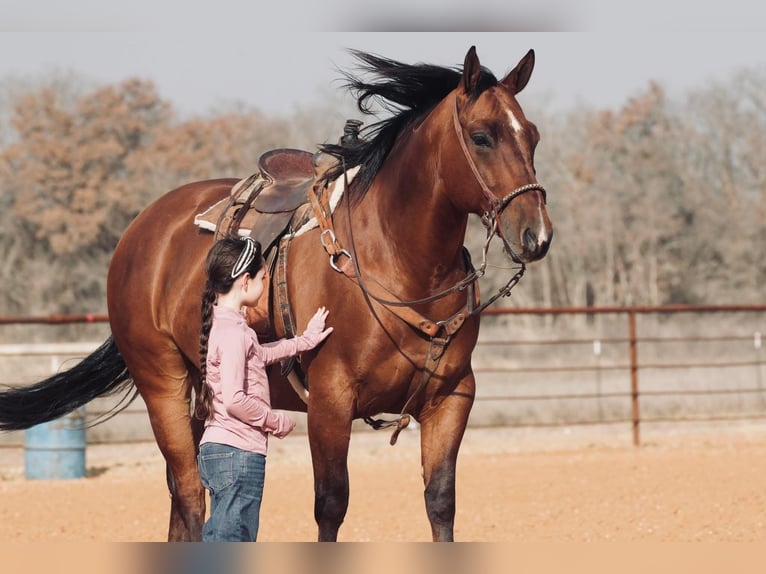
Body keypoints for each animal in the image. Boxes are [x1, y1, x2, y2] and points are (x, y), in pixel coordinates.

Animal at [0, 47, 552, 544]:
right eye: (482, 137)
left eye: (533, 137)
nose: (537, 235)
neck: (398, 262)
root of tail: (141, 230)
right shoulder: (330, 402)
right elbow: (331, 505)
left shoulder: (452, 399)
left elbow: (440, 502)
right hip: (163, 383)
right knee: (190, 496)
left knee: (183, 500)